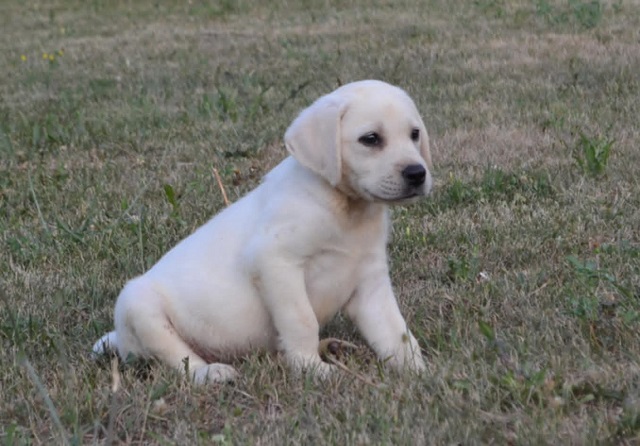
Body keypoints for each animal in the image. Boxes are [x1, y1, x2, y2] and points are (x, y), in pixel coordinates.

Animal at [92, 79, 432, 384]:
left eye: (414, 134)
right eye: (370, 139)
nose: (417, 173)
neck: (345, 209)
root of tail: (120, 339)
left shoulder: (370, 281)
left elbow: (396, 332)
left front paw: (420, 373)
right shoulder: (275, 262)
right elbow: (301, 321)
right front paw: (311, 368)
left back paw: (334, 346)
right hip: (139, 305)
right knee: (179, 358)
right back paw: (211, 373)